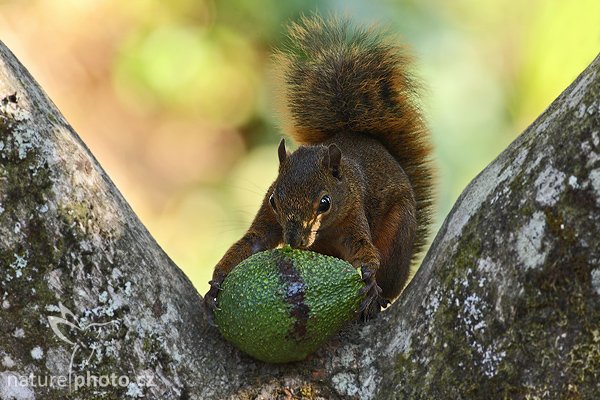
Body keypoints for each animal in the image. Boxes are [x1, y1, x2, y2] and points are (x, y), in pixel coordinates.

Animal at [204, 16, 434, 322]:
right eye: (273, 200)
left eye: (325, 203)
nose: (294, 240)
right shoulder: (268, 219)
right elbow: (252, 242)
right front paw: (217, 280)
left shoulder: (354, 214)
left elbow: (362, 248)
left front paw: (369, 277)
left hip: (398, 234)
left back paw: (378, 297)